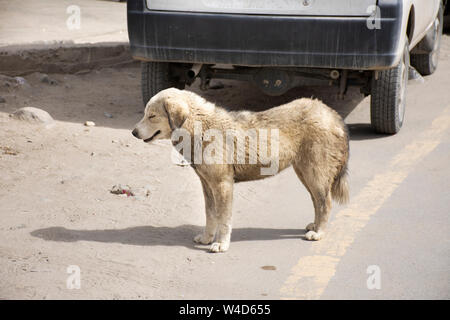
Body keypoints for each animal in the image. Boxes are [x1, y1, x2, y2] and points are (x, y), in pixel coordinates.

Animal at [132, 87, 350, 252]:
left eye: (152, 116)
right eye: (145, 114)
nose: (133, 133)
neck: (200, 127)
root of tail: (331, 113)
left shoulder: (223, 185)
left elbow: (223, 217)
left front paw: (221, 243)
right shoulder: (207, 184)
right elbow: (210, 214)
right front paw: (207, 237)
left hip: (315, 173)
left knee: (325, 202)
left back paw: (319, 232)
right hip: (304, 172)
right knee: (317, 201)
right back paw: (315, 224)